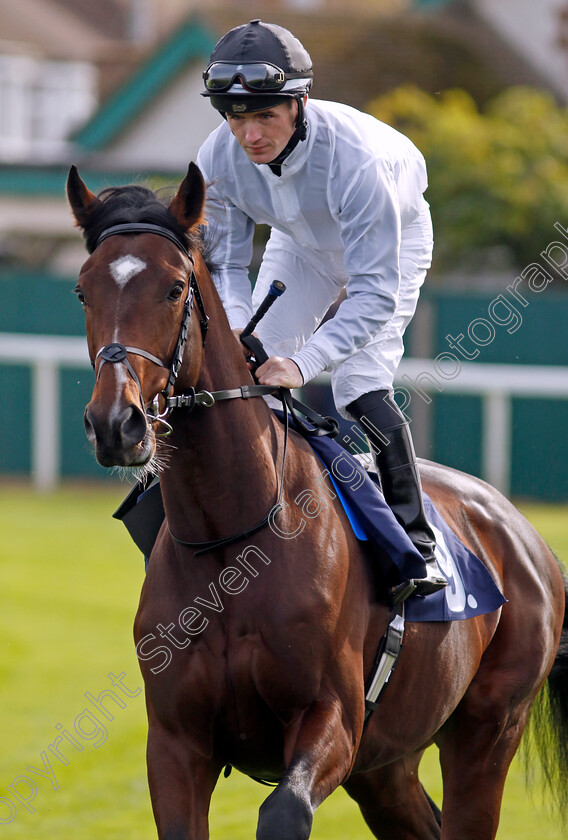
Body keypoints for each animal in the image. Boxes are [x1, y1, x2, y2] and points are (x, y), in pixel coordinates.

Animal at [67, 161, 568, 836]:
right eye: (83, 291)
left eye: (173, 289)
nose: (115, 423)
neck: (232, 541)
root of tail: (523, 532)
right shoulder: (174, 742)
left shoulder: (333, 721)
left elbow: (283, 813)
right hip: (387, 766)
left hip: (488, 731)